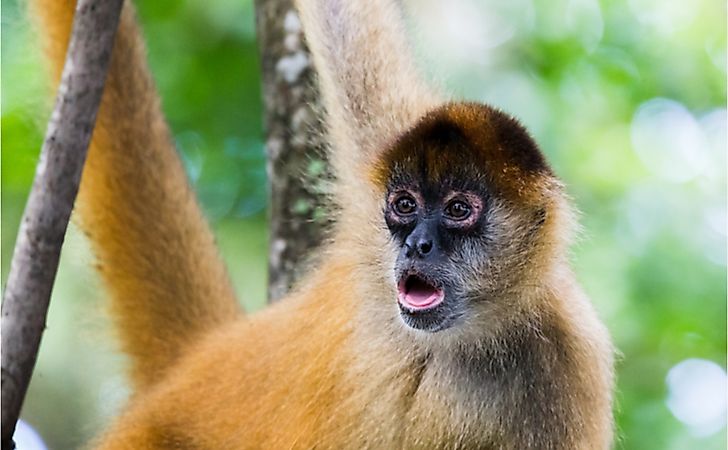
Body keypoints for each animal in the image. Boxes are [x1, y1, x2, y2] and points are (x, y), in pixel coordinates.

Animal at [29, 0, 614, 448]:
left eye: (457, 210)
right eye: (404, 205)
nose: (418, 244)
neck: (446, 344)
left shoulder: (566, 362)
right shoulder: (374, 181)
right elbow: (345, 19)